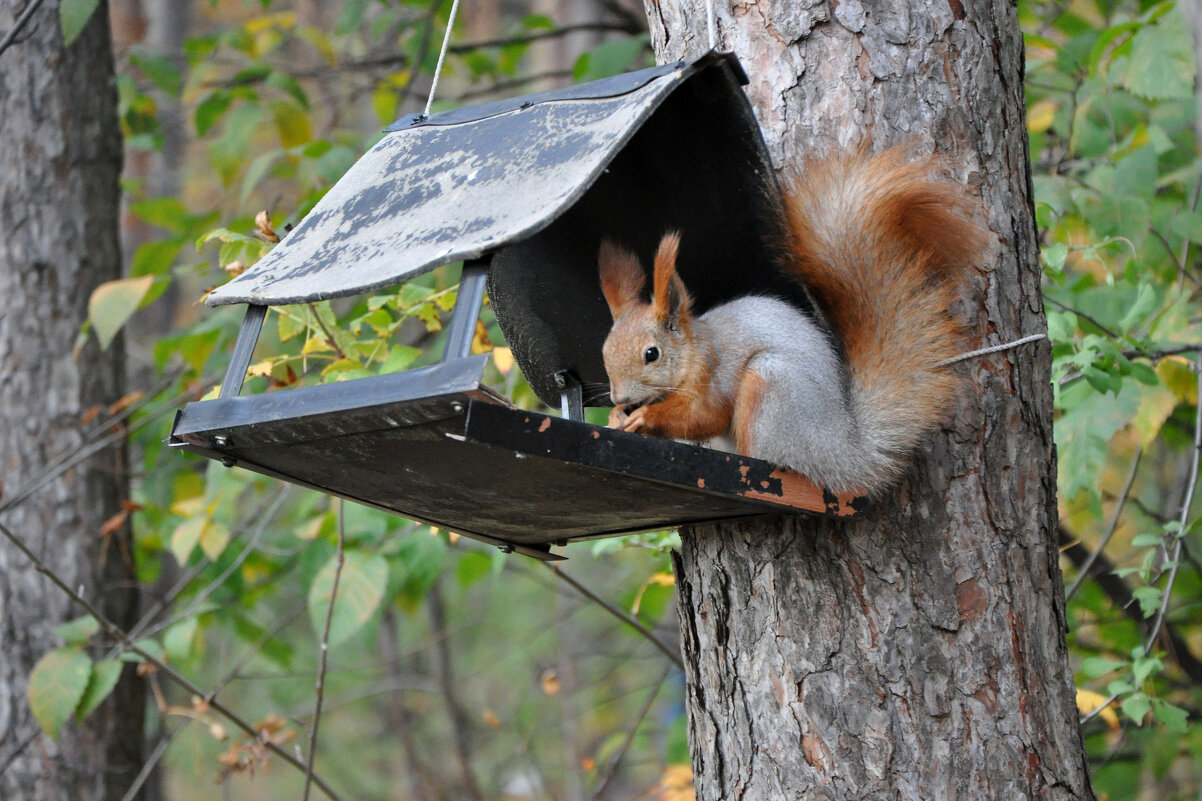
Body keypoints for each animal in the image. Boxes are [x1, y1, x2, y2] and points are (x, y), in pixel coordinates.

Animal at [601, 144, 985, 493]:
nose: (619, 397)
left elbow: (705, 416)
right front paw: (616, 418)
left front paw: (645, 417)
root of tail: (844, 454)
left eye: (652, 354)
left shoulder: (713, 371)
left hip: (772, 387)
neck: (692, 350)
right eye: (604, 352)